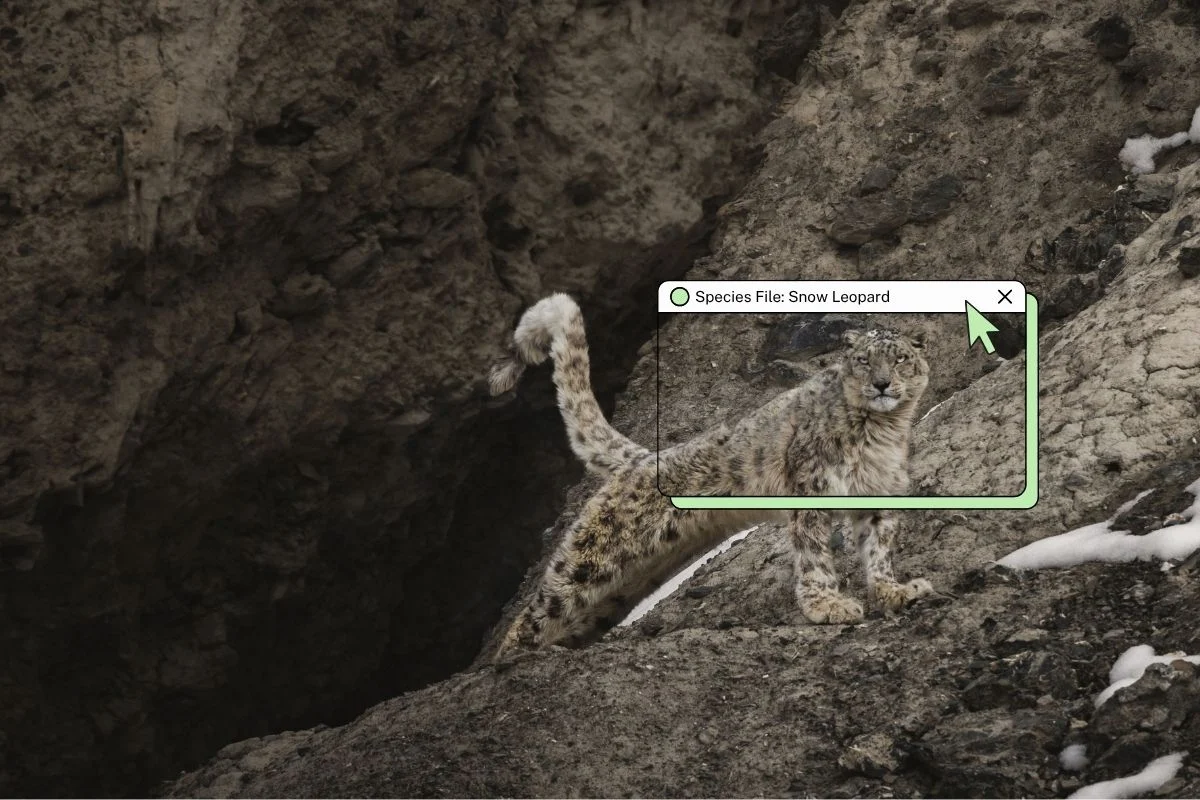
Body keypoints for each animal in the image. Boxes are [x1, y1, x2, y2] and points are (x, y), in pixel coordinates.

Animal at [488, 293, 933, 659]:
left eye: (899, 359)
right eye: (864, 360)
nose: (882, 383)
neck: (882, 432)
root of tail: (642, 458)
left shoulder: (880, 497)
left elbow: (878, 551)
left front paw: (894, 591)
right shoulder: (811, 489)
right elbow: (814, 557)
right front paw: (828, 606)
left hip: (631, 580)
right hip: (594, 556)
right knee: (545, 603)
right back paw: (507, 662)